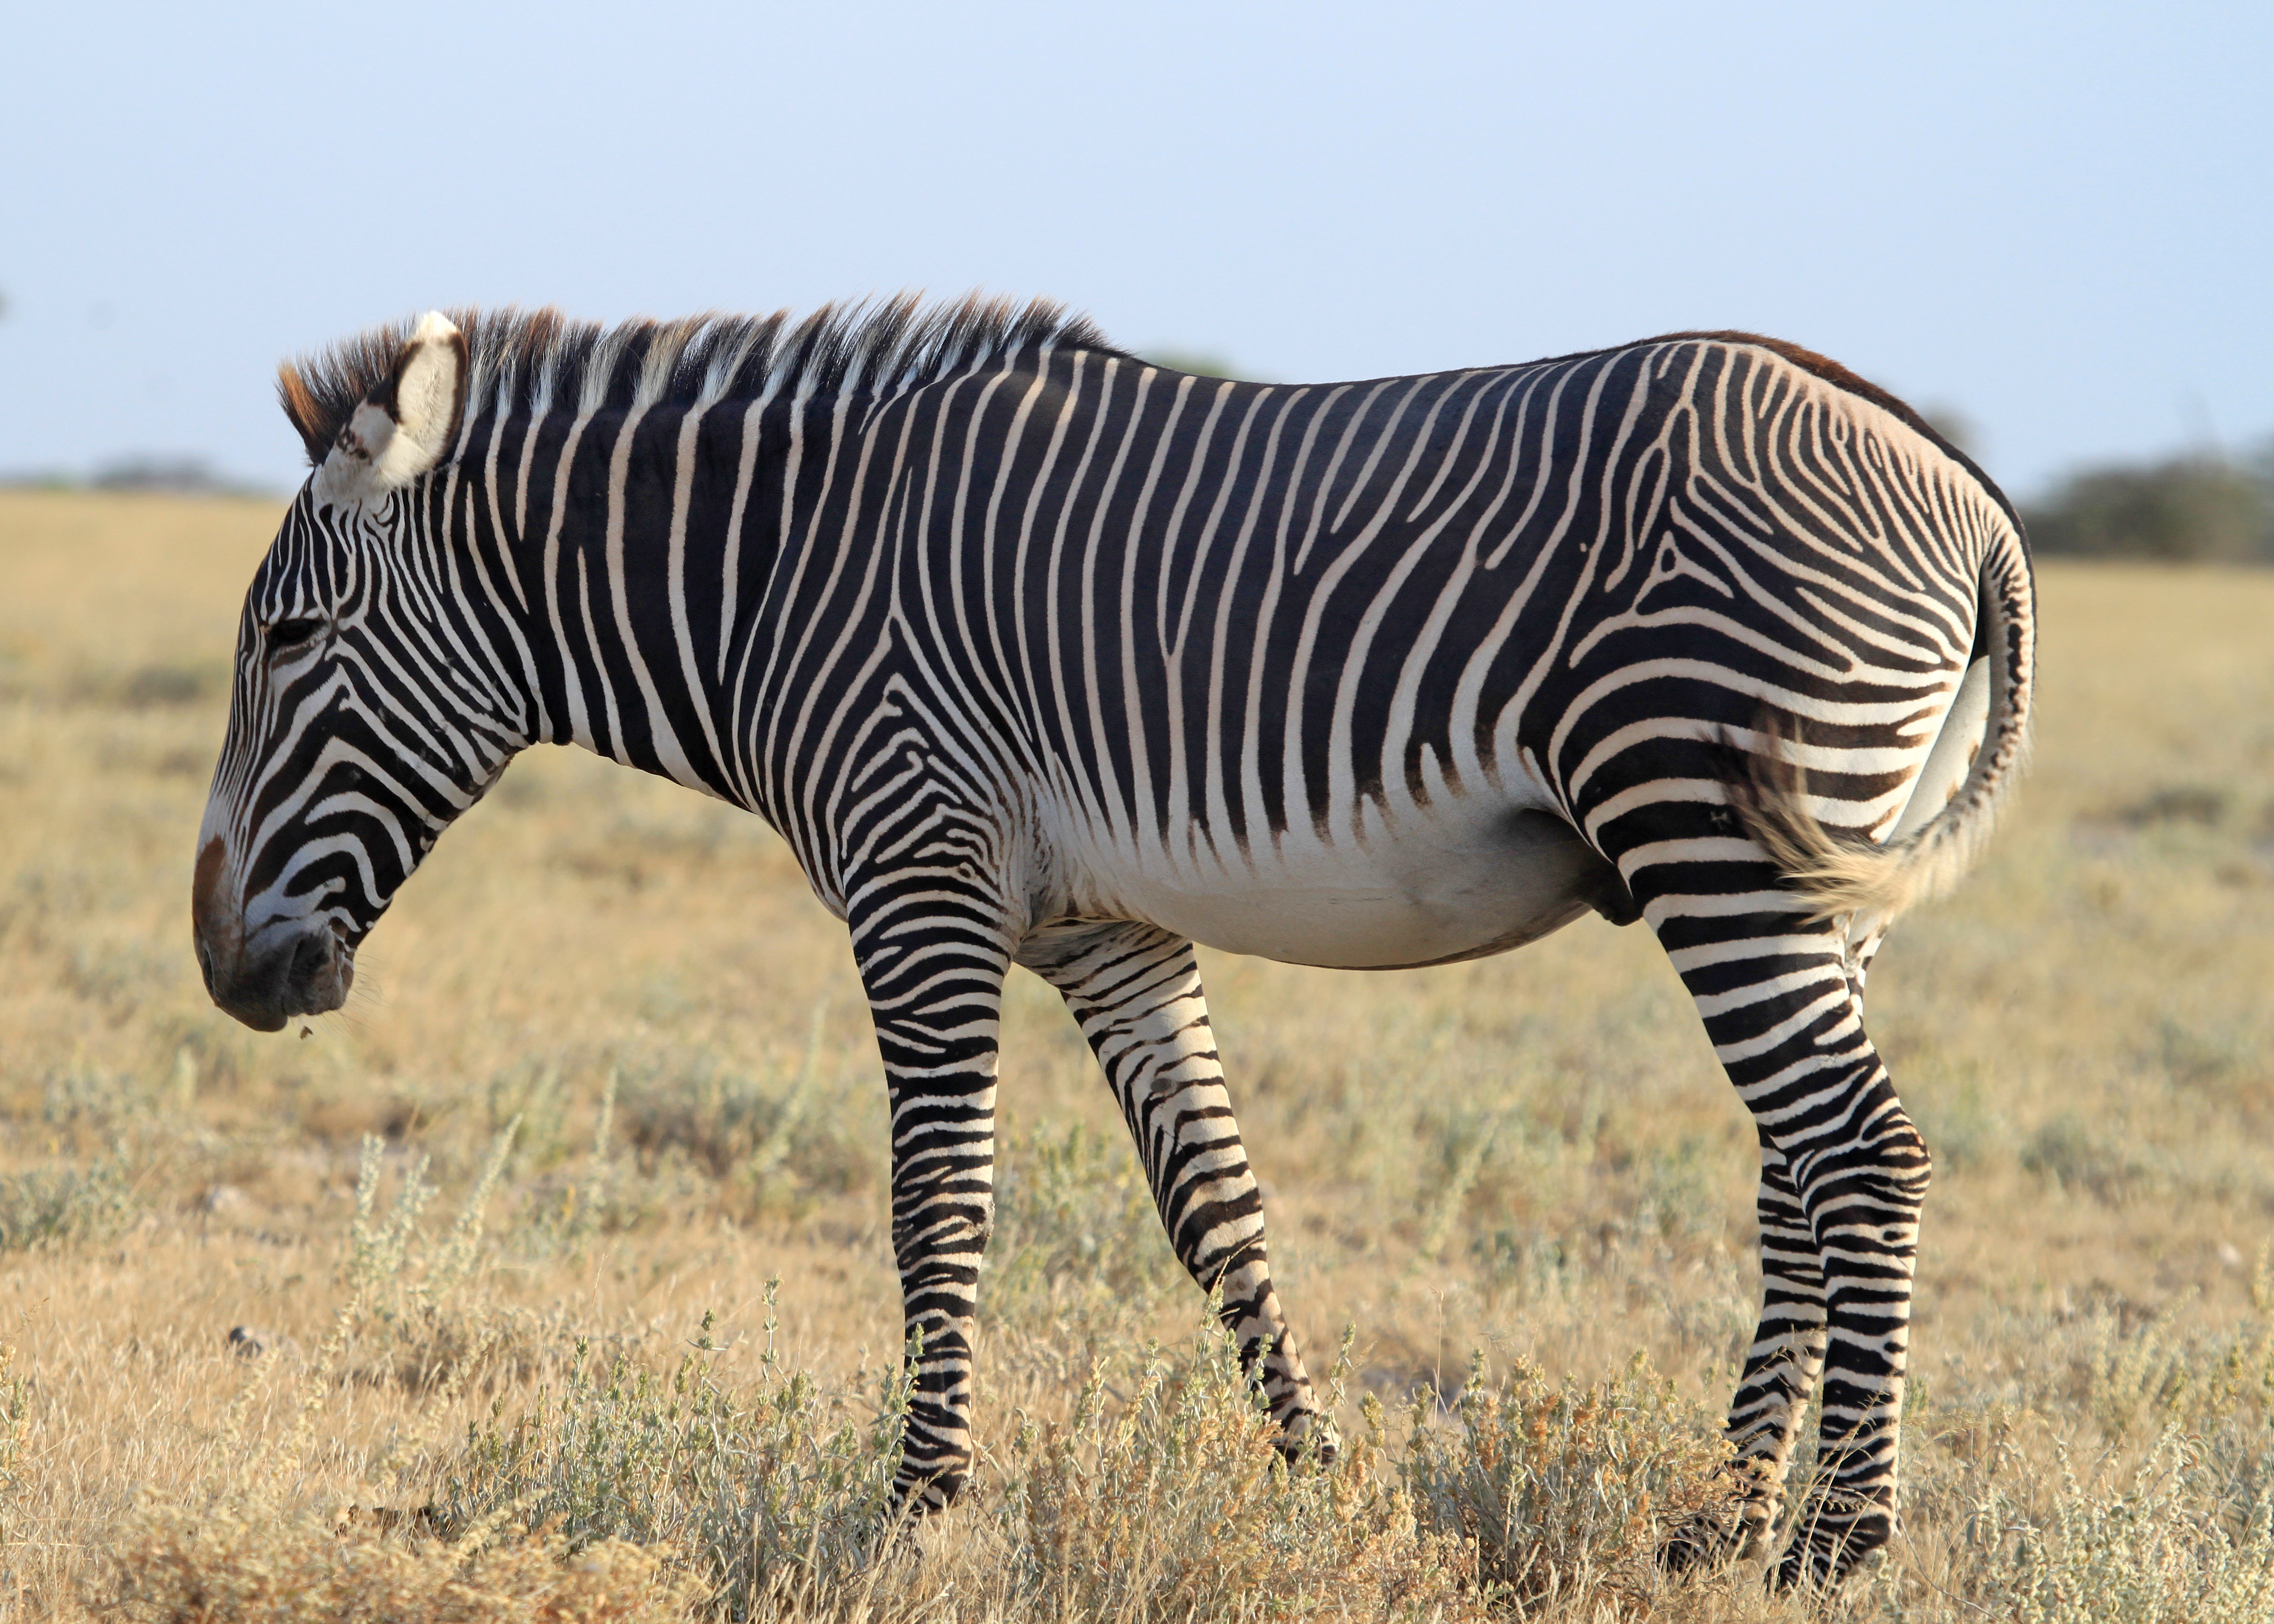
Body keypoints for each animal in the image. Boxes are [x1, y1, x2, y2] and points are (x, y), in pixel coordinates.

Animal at [195, 298, 2037, 1592]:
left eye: (289, 637)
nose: (223, 965)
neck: (782, 584)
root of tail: (1969, 496)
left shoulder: (920, 872)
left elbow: (936, 1205)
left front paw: (914, 1515)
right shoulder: (1107, 930)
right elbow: (1219, 1214)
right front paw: (1325, 1482)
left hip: (1709, 824)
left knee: (1861, 1153)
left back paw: (1839, 1541)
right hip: (1814, 870)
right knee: (1792, 1170)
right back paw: (1720, 1520)